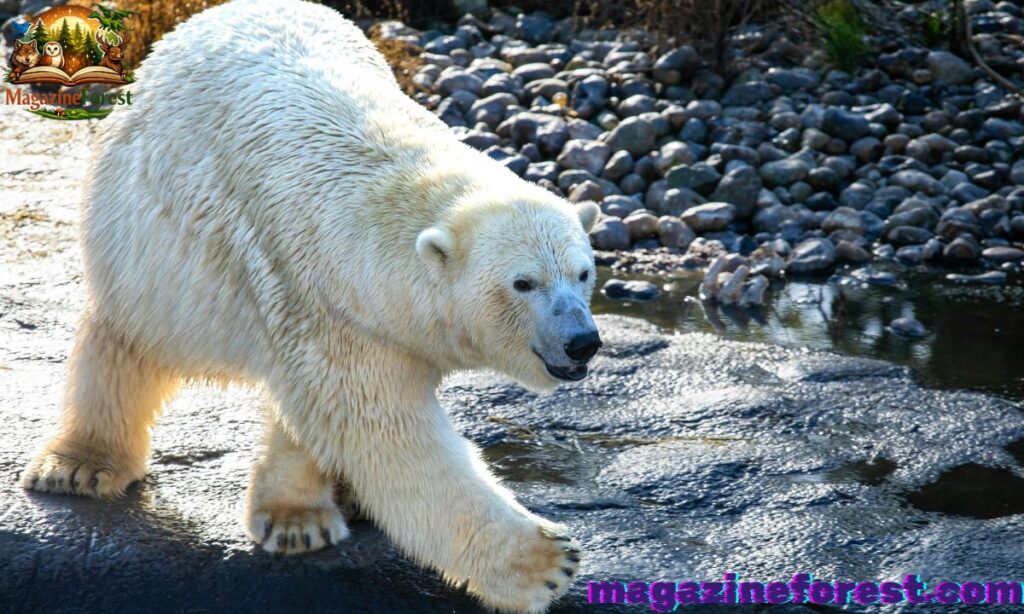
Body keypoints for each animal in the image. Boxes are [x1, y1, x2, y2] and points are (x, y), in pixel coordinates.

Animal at [18, 0, 602, 612]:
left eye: (583, 272)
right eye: (524, 283)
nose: (582, 342)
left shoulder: (333, 312)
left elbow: (322, 415)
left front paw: (299, 518)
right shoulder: (319, 297)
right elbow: (389, 434)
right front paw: (546, 562)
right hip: (144, 237)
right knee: (128, 339)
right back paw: (79, 466)